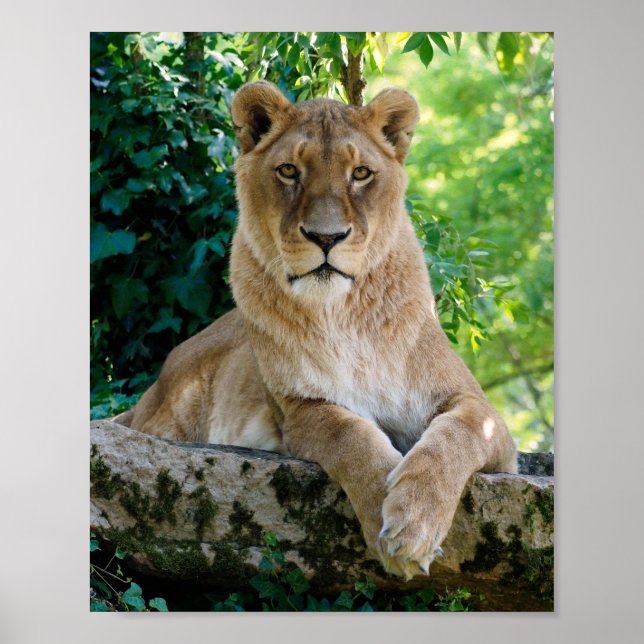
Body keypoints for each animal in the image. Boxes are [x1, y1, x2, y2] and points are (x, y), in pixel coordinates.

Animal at [115, 81, 517, 579]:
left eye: (360, 173)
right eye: (289, 170)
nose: (326, 237)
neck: (343, 314)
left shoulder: (480, 412)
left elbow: (456, 436)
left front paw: (414, 523)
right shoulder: (298, 410)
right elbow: (350, 435)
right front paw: (386, 517)